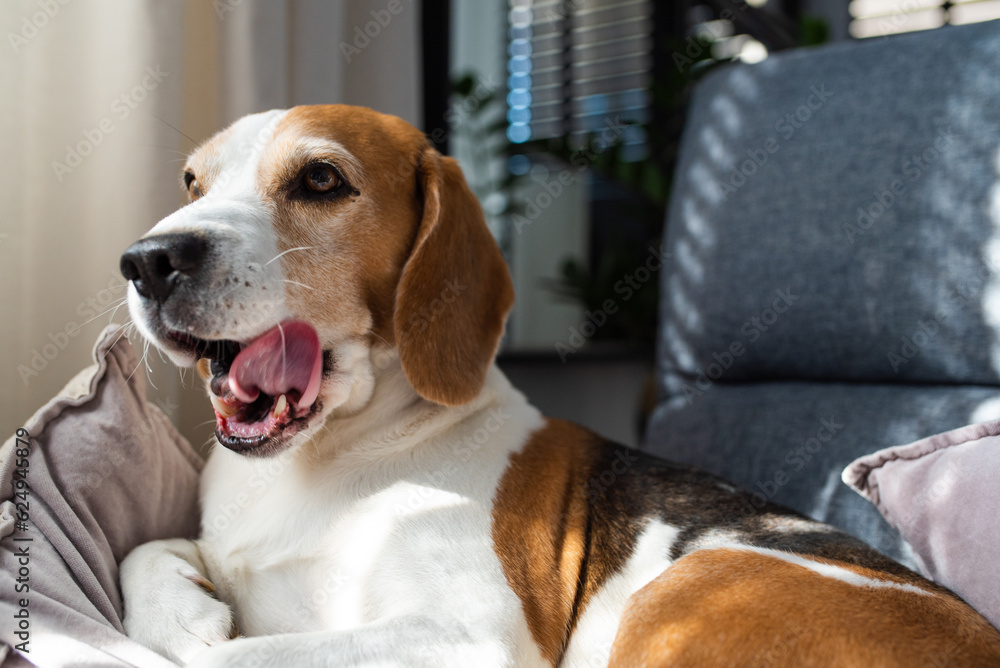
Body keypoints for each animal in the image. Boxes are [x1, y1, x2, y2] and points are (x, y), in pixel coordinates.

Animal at [119, 105, 1000, 668]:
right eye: (193, 182)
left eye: (322, 180)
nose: (147, 259)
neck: (329, 460)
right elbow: (145, 551)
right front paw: (185, 610)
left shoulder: (464, 640)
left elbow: (232, 661)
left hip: (691, 585)